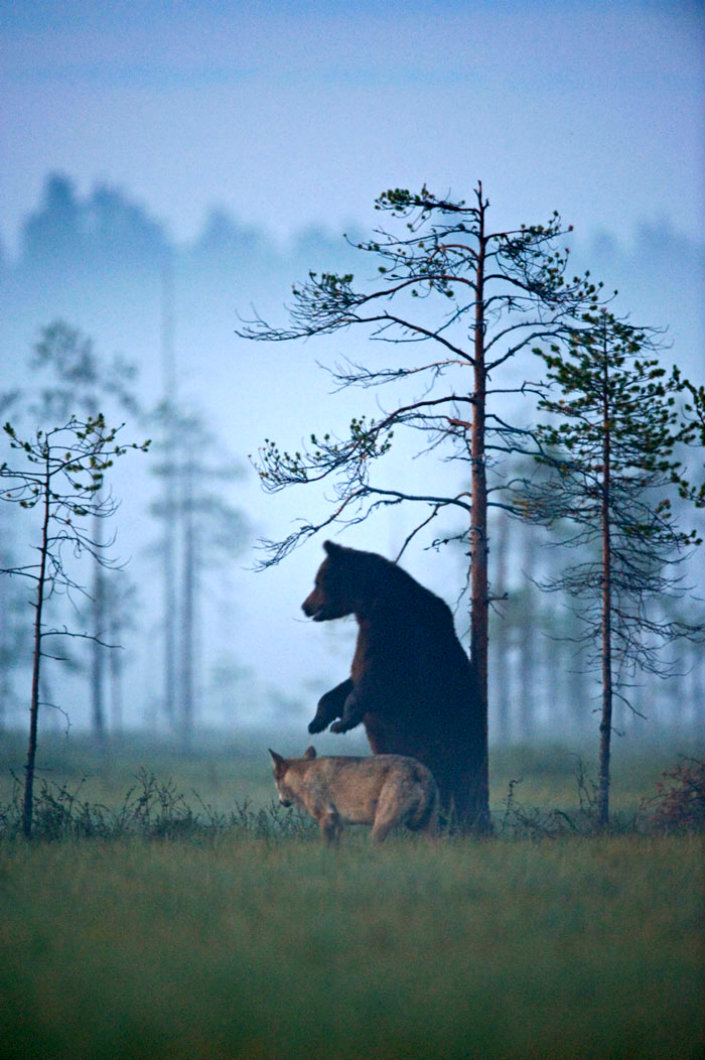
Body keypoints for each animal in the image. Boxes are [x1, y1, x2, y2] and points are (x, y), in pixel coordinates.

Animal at [268, 746, 439, 845]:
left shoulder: (326, 816)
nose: (281, 802)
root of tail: (419, 770)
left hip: (380, 826)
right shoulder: (338, 822)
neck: (304, 777)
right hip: (427, 829)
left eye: (275, 780)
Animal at [301, 540, 487, 830]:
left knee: (452, 779)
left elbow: (375, 680)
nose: (306, 606)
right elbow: (349, 681)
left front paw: (342, 722)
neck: (370, 602)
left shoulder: (395, 634)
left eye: (319, 580)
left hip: (449, 740)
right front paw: (318, 720)